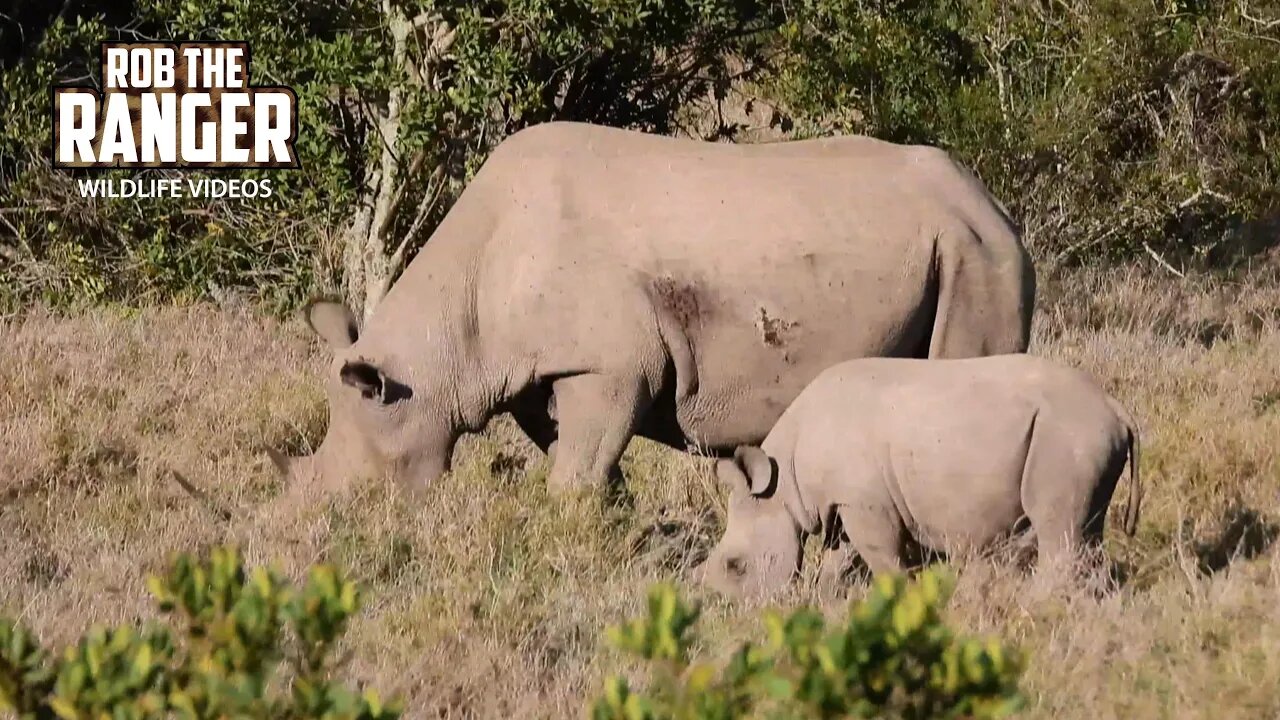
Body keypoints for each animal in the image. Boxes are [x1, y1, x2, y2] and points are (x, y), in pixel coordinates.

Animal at [264, 120, 1034, 499]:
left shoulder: (608, 364)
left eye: (360, 491)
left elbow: (576, 469)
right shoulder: (546, 369)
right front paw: (613, 519)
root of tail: (993, 205)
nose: (314, 525)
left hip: (978, 257)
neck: (445, 347)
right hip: (962, 247)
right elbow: (575, 458)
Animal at [701, 351, 1141, 594]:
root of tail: (1115, 407)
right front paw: (828, 603)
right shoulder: (846, 503)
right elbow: (838, 560)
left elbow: (884, 562)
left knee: (1058, 529)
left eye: (735, 565)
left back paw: (1036, 606)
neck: (783, 483)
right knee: (1084, 530)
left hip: (1066, 434)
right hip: (1082, 436)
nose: (732, 610)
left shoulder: (864, 502)